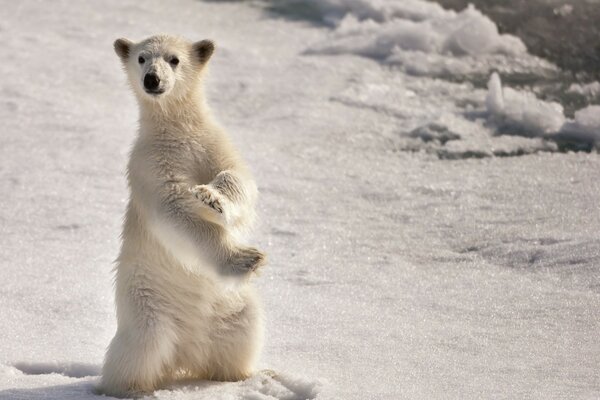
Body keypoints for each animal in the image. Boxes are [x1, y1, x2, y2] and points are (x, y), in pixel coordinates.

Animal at [100, 36, 268, 398]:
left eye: (174, 59)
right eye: (141, 58)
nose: (152, 79)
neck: (176, 129)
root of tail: (187, 354)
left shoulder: (212, 143)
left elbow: (238, 178)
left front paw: (213, 198)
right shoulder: (150, 163)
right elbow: (175, 209)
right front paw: (246, 258)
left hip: (232, 308)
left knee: (242, 334)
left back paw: (240, 377)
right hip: (147, 303)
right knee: (140, 349)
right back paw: (129, 388)